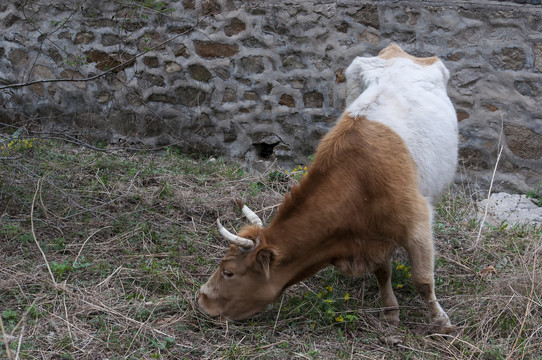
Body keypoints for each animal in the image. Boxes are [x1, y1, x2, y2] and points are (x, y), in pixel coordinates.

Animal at [196, 43, 460, 330]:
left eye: (228, 272)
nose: (202, 299)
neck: (359, 180)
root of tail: (397, 51)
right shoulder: (375, 238)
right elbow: (382, 270)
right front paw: (390, 311)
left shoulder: (417, 223)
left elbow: (422, 280)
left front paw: (442, 322)